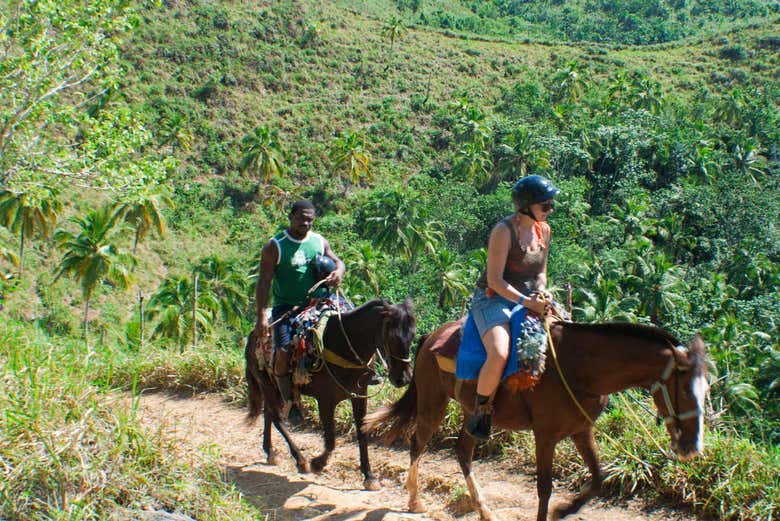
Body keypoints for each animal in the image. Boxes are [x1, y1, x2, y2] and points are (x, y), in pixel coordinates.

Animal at [245, 296, 414, 488]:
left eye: (412, 336)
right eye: (391, 338)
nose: (403, 378)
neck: (343, 346)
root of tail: (253, 335)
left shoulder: (359, 395)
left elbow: (362, 433)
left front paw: (369, 476)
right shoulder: (325, 400)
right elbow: (331, 440)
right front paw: (318, 463)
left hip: (274, 388)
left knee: (268, 413)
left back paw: (271, 452)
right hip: (266, 383)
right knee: (276, 417)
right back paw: (300, 459)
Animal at [362, 318, 708, 516]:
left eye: (707, 390)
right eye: (685, 391)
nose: (692, 447)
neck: (580, 368)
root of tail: (431, 337)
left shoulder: (582, 430)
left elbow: (598, 479)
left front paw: (566, 509)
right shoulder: (546, 435)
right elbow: (544, 488)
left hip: (471, 412)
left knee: (462, 451)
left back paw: (484, 509)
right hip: (433, 403)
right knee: (417, 442)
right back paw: (415, 500)